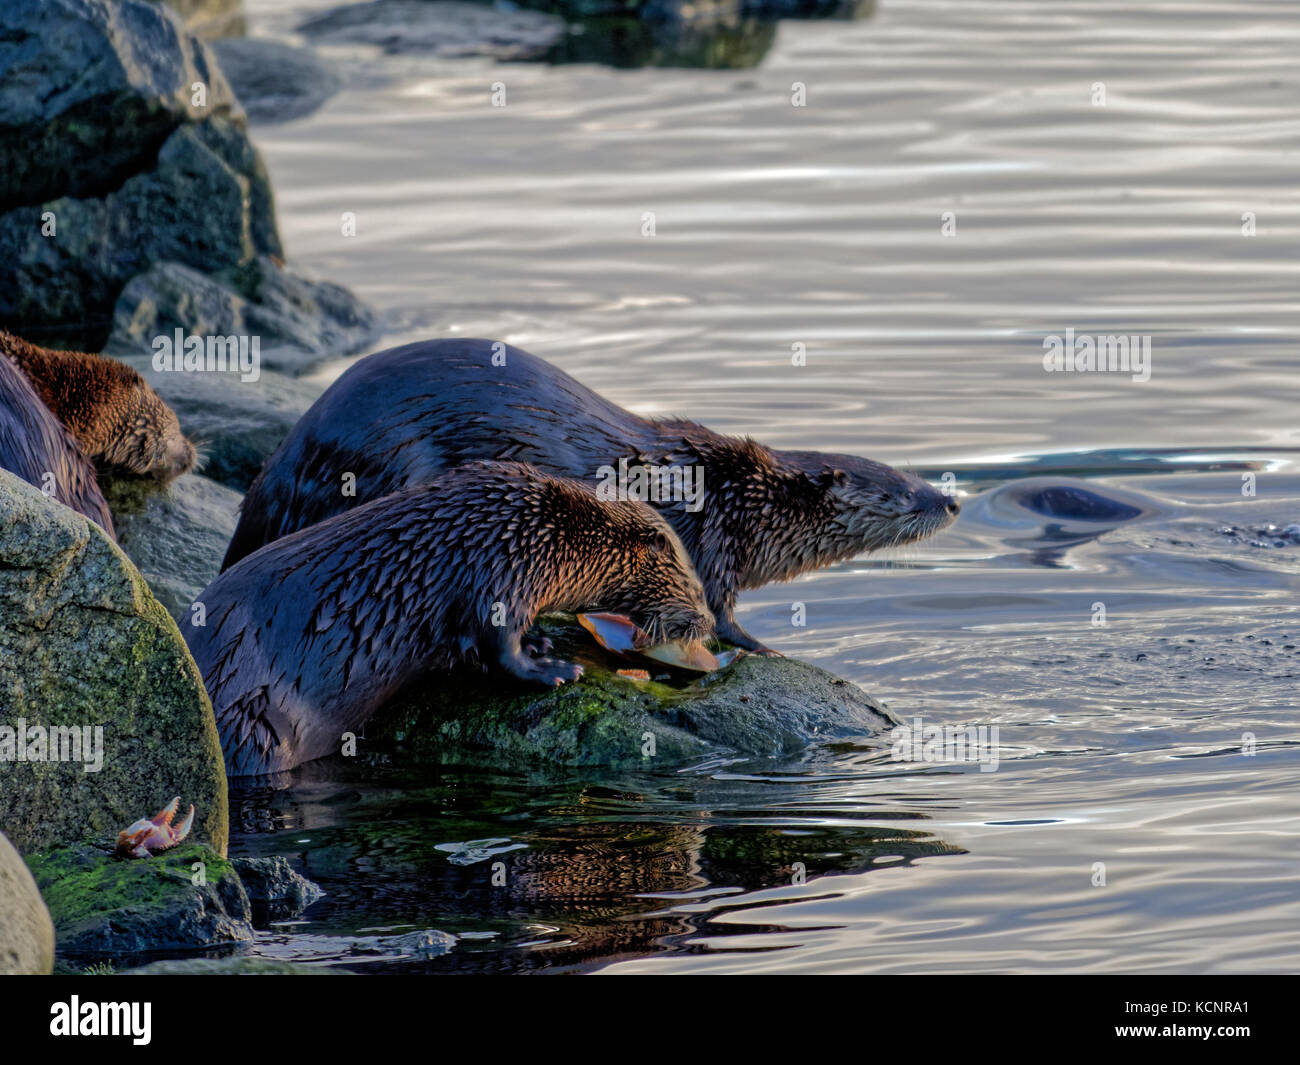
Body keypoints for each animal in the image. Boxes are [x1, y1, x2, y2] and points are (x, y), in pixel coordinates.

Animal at [191, 457, 717, 775]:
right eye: (697, 587)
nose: (711, 624)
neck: (546, 533)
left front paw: (542, 643)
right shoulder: (501, 572)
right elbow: (497, 648)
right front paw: (552, 669)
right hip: (255, 728)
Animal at [220, 340, 956, 652]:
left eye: (918, 477)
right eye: (902, 491)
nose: (948, 501)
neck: (742, 497)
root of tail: (283, 463)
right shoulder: (713, 540)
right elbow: (720, 612)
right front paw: (761, 646)